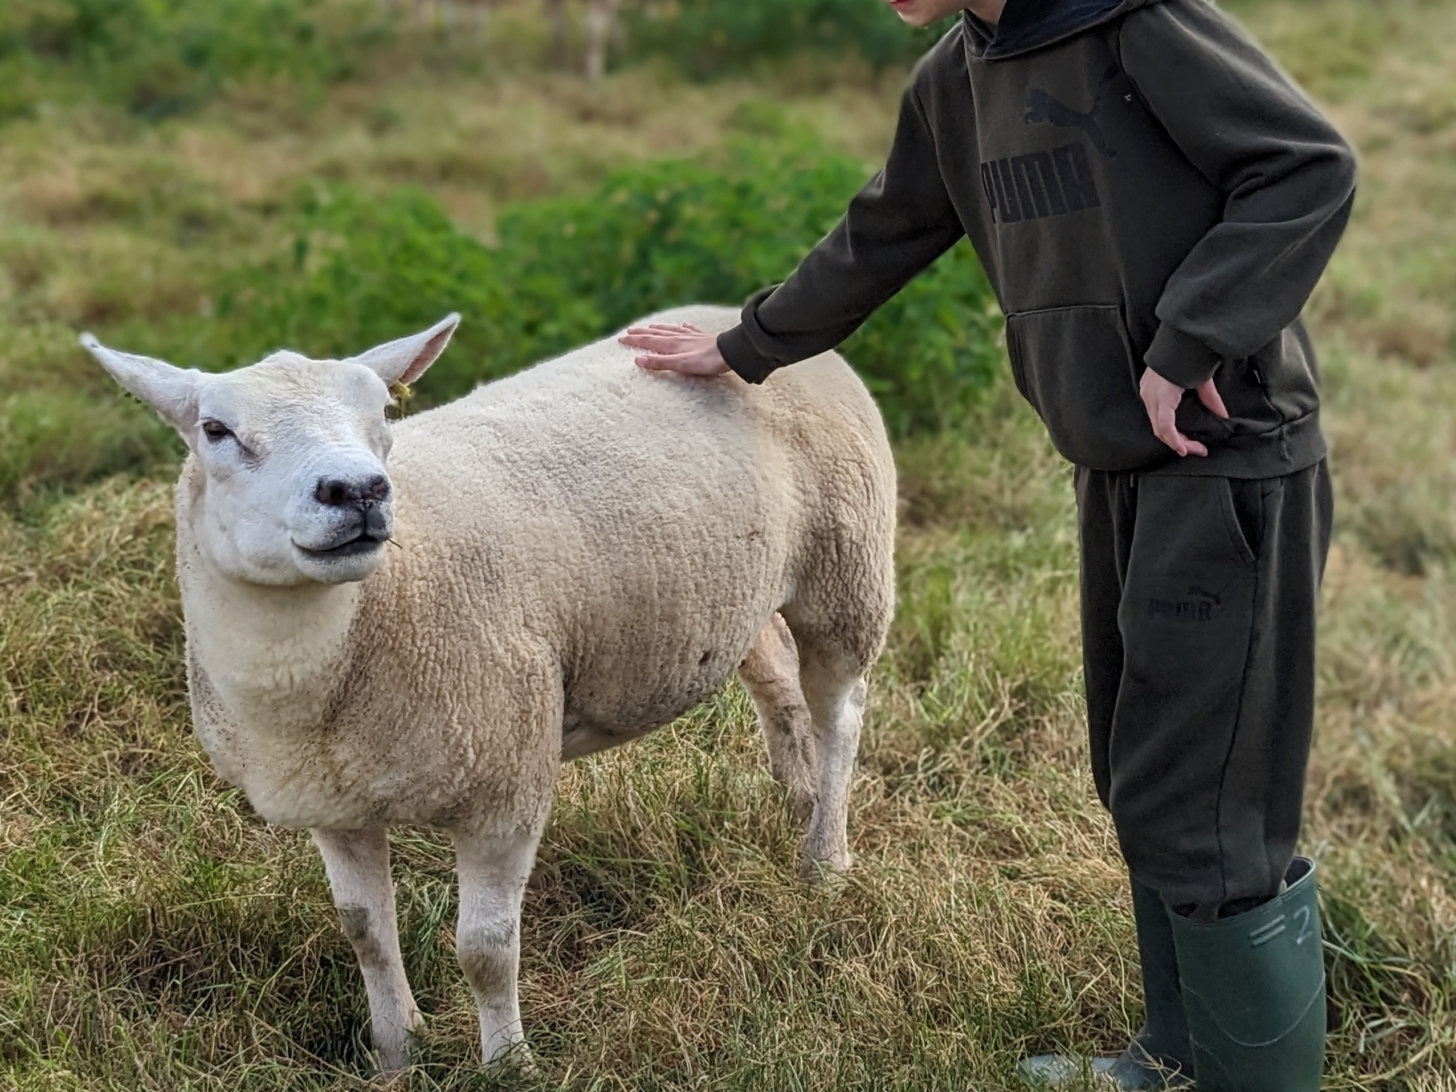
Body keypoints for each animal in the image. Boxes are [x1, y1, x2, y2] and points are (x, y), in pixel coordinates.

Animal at [80, 304, 896, 1074]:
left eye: (383, 415)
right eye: (215, 430)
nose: (358, 491)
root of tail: (724, 313)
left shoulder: (505, 785)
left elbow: (485, 948)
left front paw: (510, 1065)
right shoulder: (331, 801)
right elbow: (364, 931)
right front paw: (396, 1052)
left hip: (847, 565)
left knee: (841, 715)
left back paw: (825, 861)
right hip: (735, 596)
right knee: (776, 677)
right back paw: (797, 800)